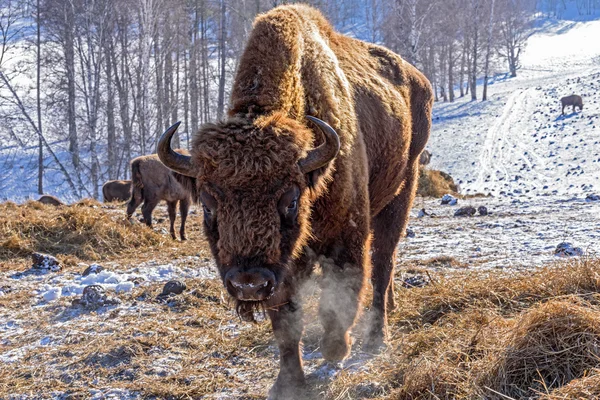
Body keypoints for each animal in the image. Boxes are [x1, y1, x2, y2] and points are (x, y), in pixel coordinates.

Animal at [159, 4, 432, 398]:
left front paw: (336, 350)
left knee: (383, 263)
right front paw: (288, 382)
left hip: (402, 190)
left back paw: (376, 338)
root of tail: (417, 79)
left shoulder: (344, 239)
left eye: (289, 200)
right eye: (209, 205)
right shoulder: (283, 267)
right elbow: (286, 319)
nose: (248, 283)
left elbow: (340, 296)